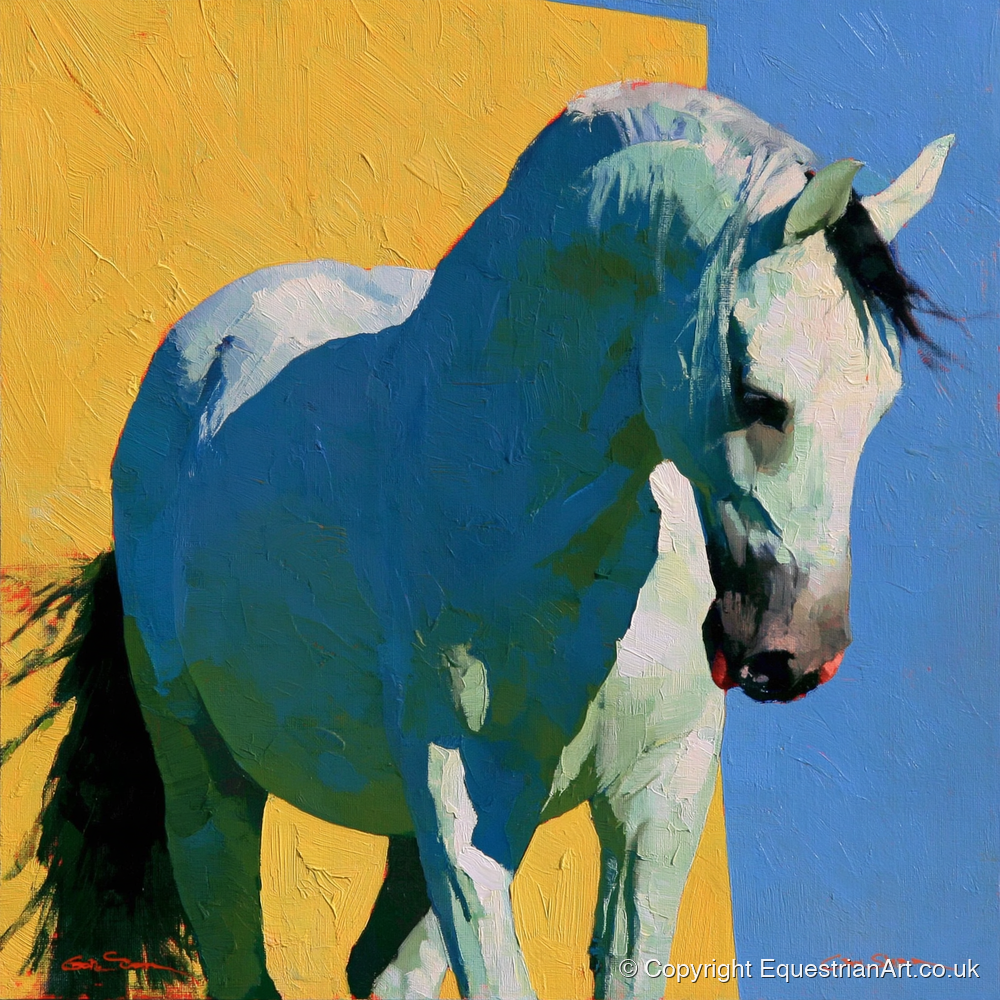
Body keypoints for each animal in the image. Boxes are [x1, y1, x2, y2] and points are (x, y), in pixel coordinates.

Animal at [7, 82, 951, 1000]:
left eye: (883, 402)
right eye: (760, 398)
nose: (798, 654)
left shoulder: (659, 795)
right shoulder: (463, 799)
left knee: (383, 973)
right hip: (207, 780)